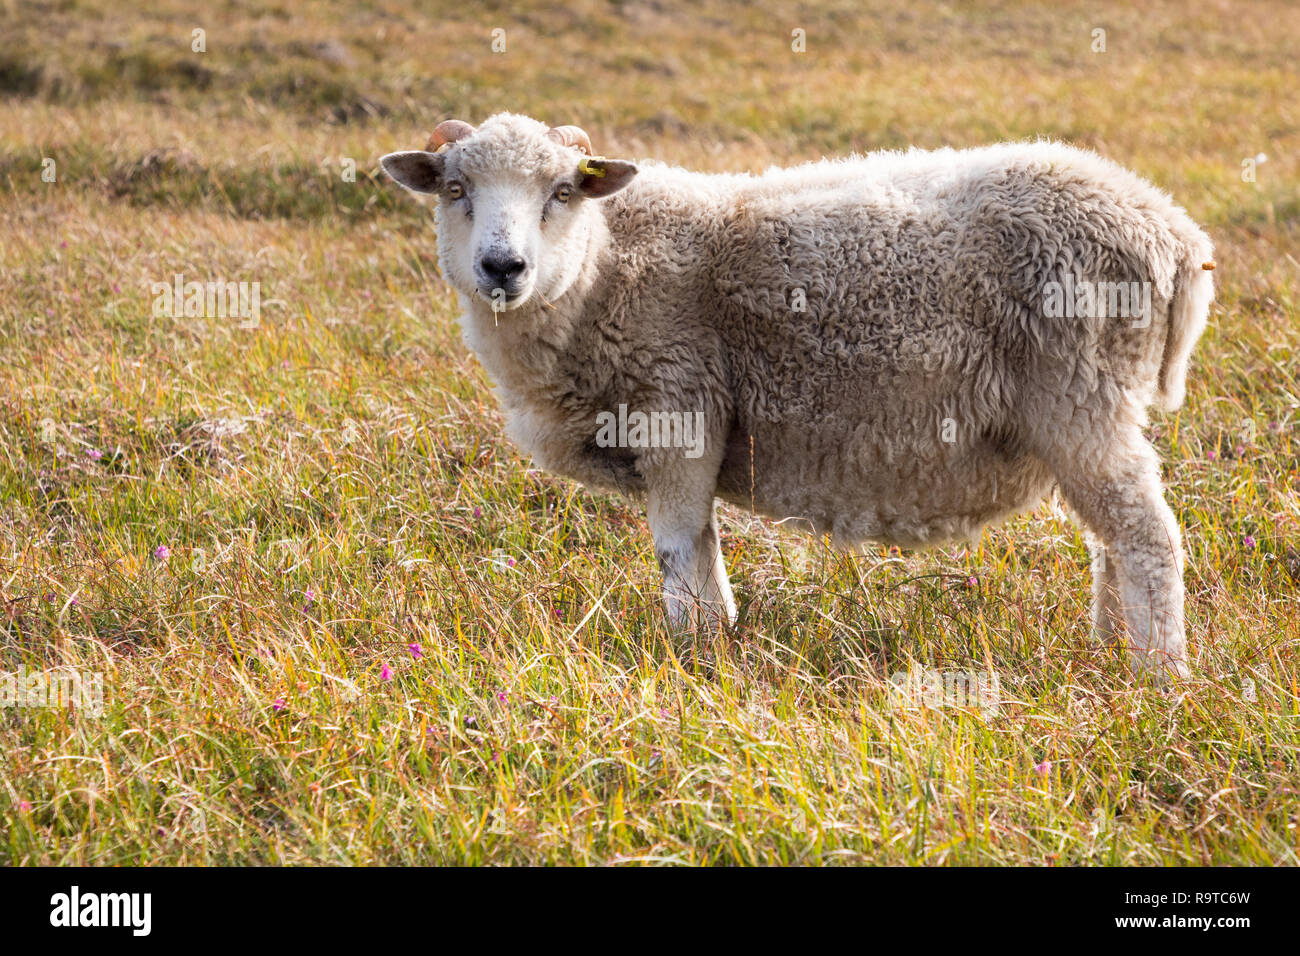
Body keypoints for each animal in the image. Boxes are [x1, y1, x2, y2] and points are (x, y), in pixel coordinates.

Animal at [379, 113, 1211, 681]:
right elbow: (702, 548)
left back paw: (1157, 676)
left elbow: (678, 551)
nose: (503, 267)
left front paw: (692, 656)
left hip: (1081, 394)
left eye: (560, 191)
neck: (601, 268)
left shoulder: (678, 403)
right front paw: (717, 640)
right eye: (455, 189)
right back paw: (1112, 654)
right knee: (1112, 540)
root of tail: (1172, 233)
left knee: (1146, 537)